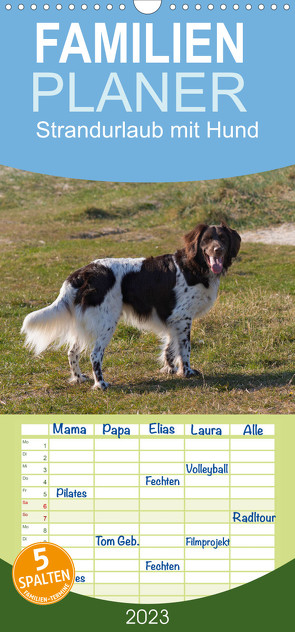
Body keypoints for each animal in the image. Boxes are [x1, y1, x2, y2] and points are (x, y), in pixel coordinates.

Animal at [22, 222, 242, 390]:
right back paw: (101, 384)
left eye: (223, 238)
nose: (218, 250)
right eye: (207, 240)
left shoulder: (172, 319)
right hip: (107, 323)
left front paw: (169, 369)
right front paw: (186, 371)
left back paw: (78, 378)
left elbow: (170, 347)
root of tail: (83, 273)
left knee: (72, 352)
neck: (194, 267)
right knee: (95, 355)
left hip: (87, 324)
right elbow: (184, 349)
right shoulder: (182, 317)